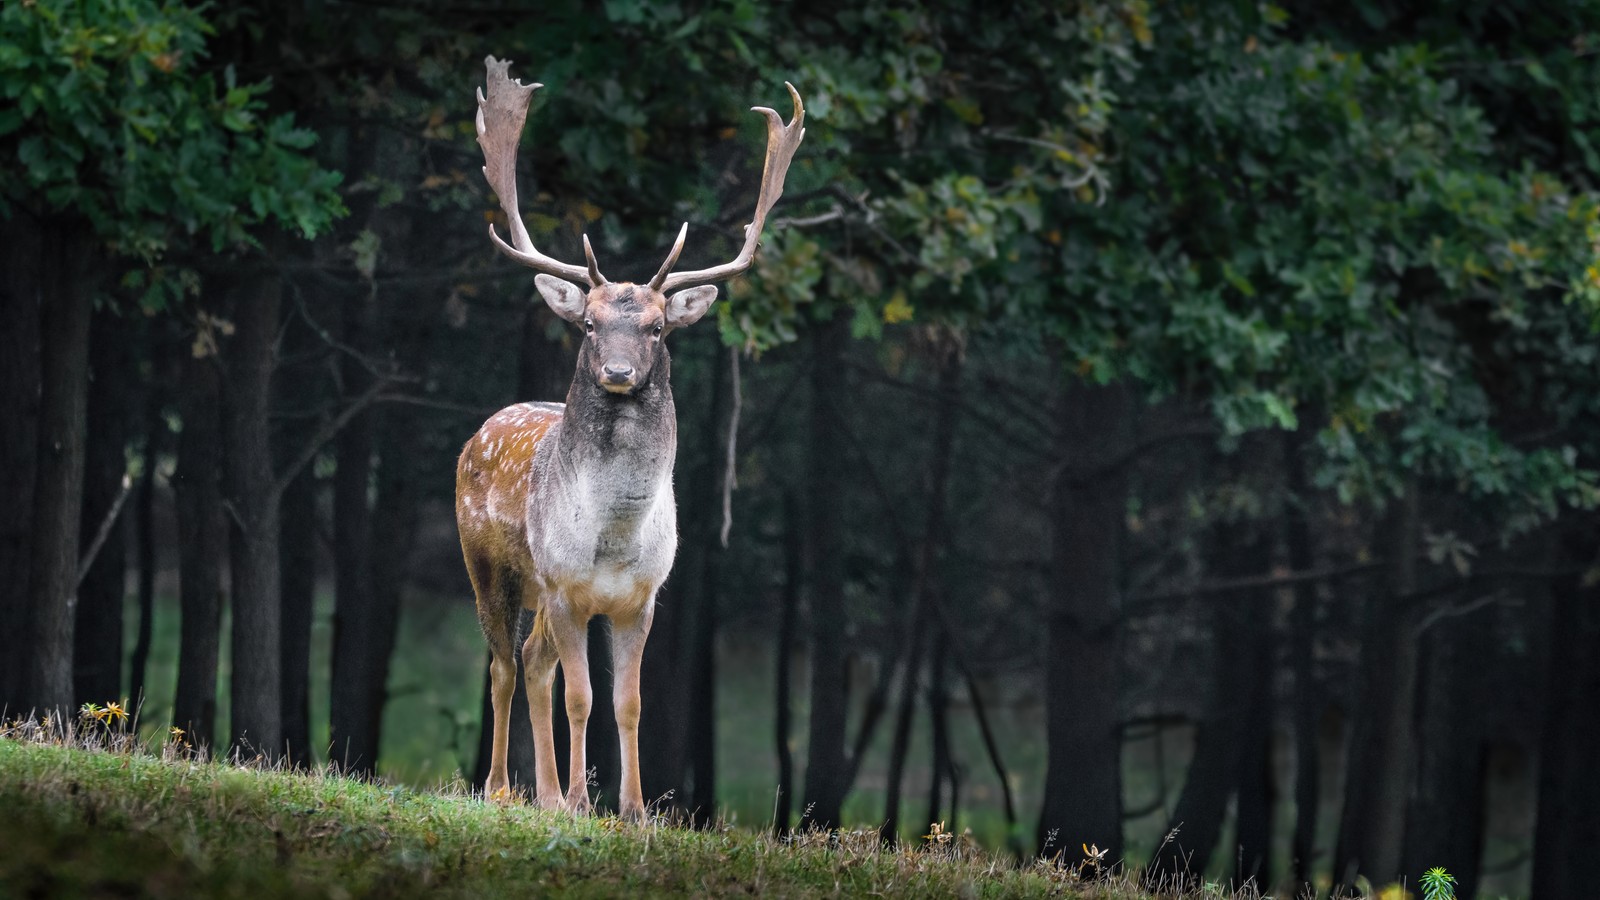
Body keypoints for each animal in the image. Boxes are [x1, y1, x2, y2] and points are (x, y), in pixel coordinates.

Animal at [457, 52, 806, 816]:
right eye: (589, 323)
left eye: (656, 327)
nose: (618, 371)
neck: (614, 539)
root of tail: (480, 432)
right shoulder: (565, 586)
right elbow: (582, 698)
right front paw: (583, 801)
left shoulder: (641, 598)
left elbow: (629, 702)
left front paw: (634, 808)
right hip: (491, 566)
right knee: (502, 665)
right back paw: (503, 789)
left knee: (532, 662)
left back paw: (545, 794)